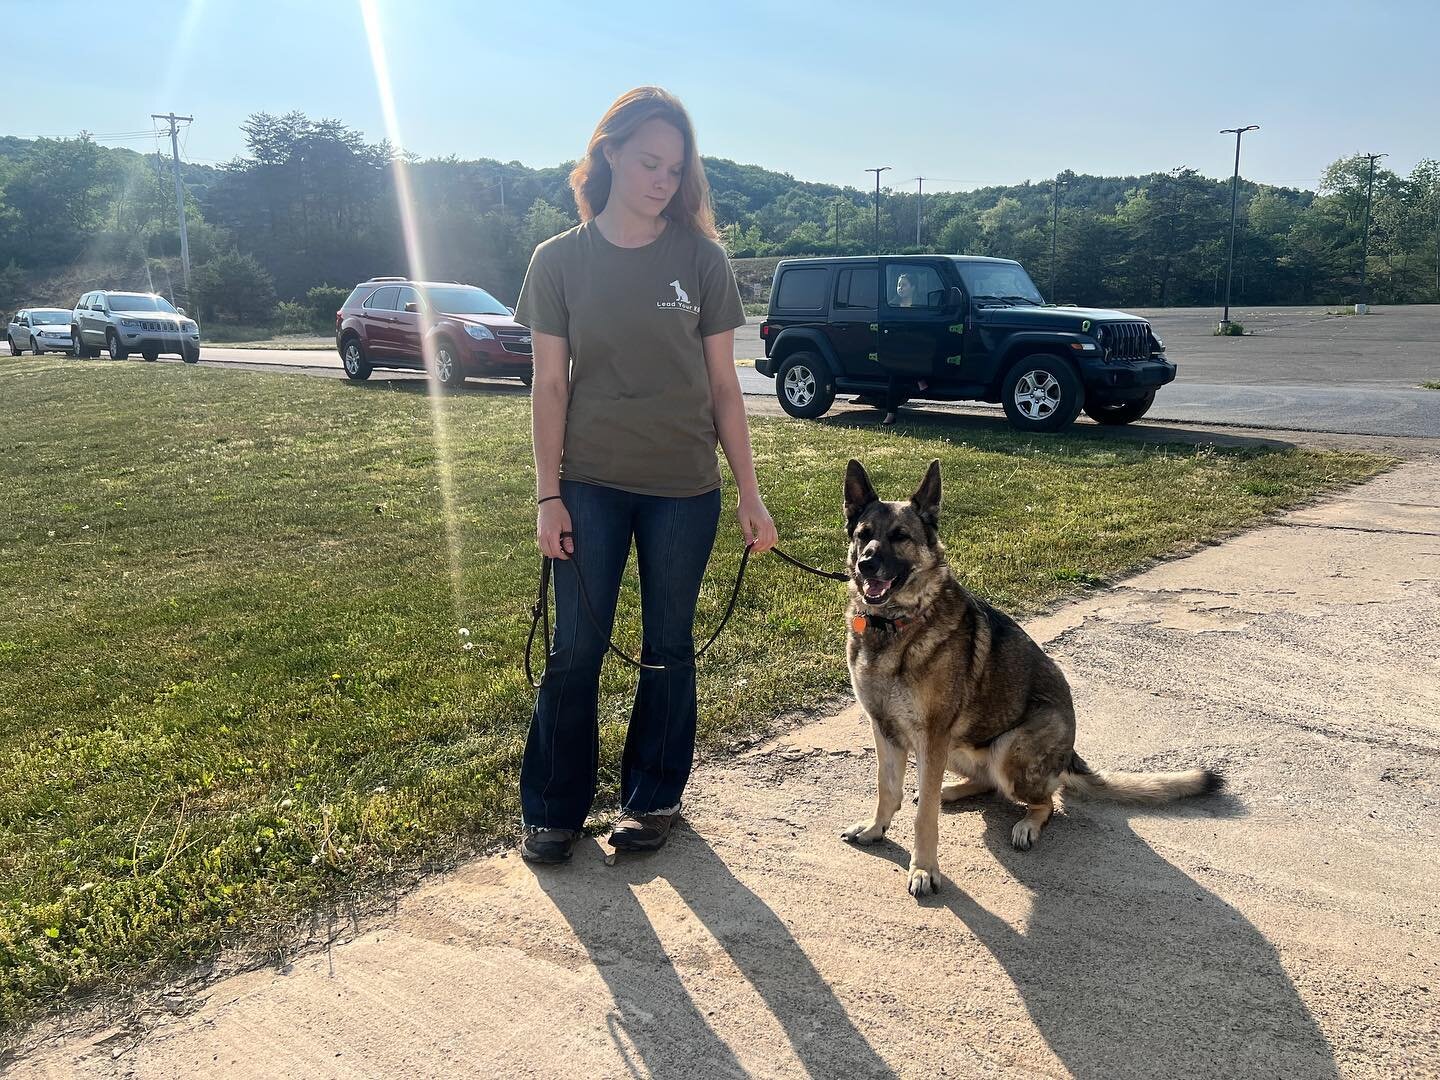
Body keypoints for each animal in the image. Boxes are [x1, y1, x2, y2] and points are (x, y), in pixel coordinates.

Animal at [840, 460, 1221, 898]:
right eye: (864, 534)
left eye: (900, 536)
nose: (867, 564)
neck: (895, 625)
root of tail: (1070, 755)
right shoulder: (885, 730)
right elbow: (887, 789)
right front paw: (876, 829)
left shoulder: (930, 736)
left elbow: (925, 819)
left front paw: (923, 868)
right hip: (957, 746)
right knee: (982, 783)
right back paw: (951, 791)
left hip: (1008, 747)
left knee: (1045, 801)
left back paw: (1024, 824)